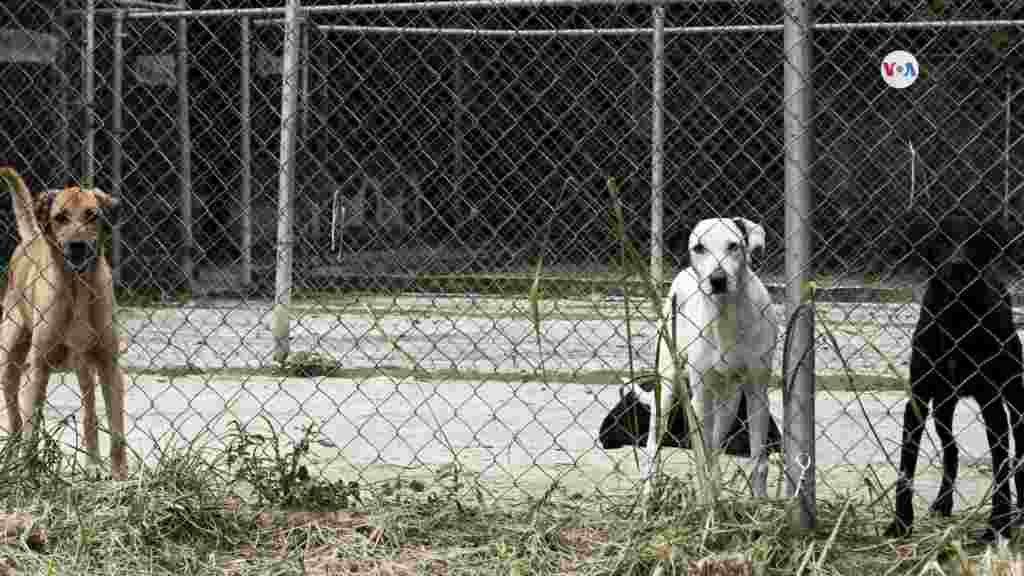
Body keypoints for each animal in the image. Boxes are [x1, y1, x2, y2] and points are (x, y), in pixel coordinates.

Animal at [0, 166, 126, 475]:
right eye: (60, 217)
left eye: (92, 215)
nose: (77, 246)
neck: (77, 289)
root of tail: (32, 237)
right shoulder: (39, 368)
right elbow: (32, 426)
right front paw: (28, 472)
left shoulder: (109, 365)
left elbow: (116, 428)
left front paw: (119, 475)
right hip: (9, 362)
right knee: (15, 419)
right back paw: (12, 460)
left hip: (84, 368)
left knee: (89, 413)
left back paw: (92, 463)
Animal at [643, 215, 778, 498]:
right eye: (699, 247)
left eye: (734, 245)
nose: (717, 279)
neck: (726, 316)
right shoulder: (701, 395)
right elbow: (701, 459)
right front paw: (707, 503)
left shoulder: (757, 392)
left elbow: (758, 461)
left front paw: (760, 503)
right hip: (669, 388)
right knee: (655, 446)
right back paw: (649, 494)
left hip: (728, 402)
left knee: (715, 449)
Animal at [884, 211, 1024, 537]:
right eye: (942, 240)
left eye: (975, 241)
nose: (958, 265)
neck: (956, 317)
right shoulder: (919, 399)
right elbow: (906, 463)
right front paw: (901, 522)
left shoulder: (991, 402)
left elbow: (1001, 464)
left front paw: (998, 524)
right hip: (943, 408)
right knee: (951, 451)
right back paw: (943, 502)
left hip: (1014, 397)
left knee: (1017, 453)